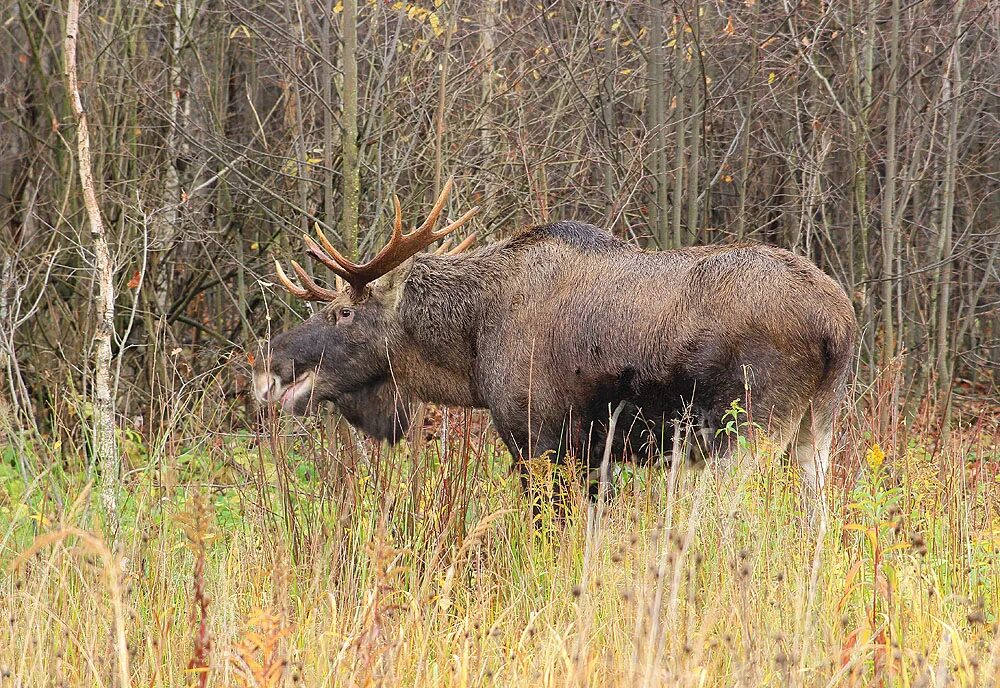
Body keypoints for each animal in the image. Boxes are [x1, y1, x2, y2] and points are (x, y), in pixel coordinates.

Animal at [254, 180, 856, 498]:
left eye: (342, 314)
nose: (266, 365)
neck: (470, 352)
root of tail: (838, 325)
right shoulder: (593, 455)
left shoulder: (538, 439)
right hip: (815, 427)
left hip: (748, 429)